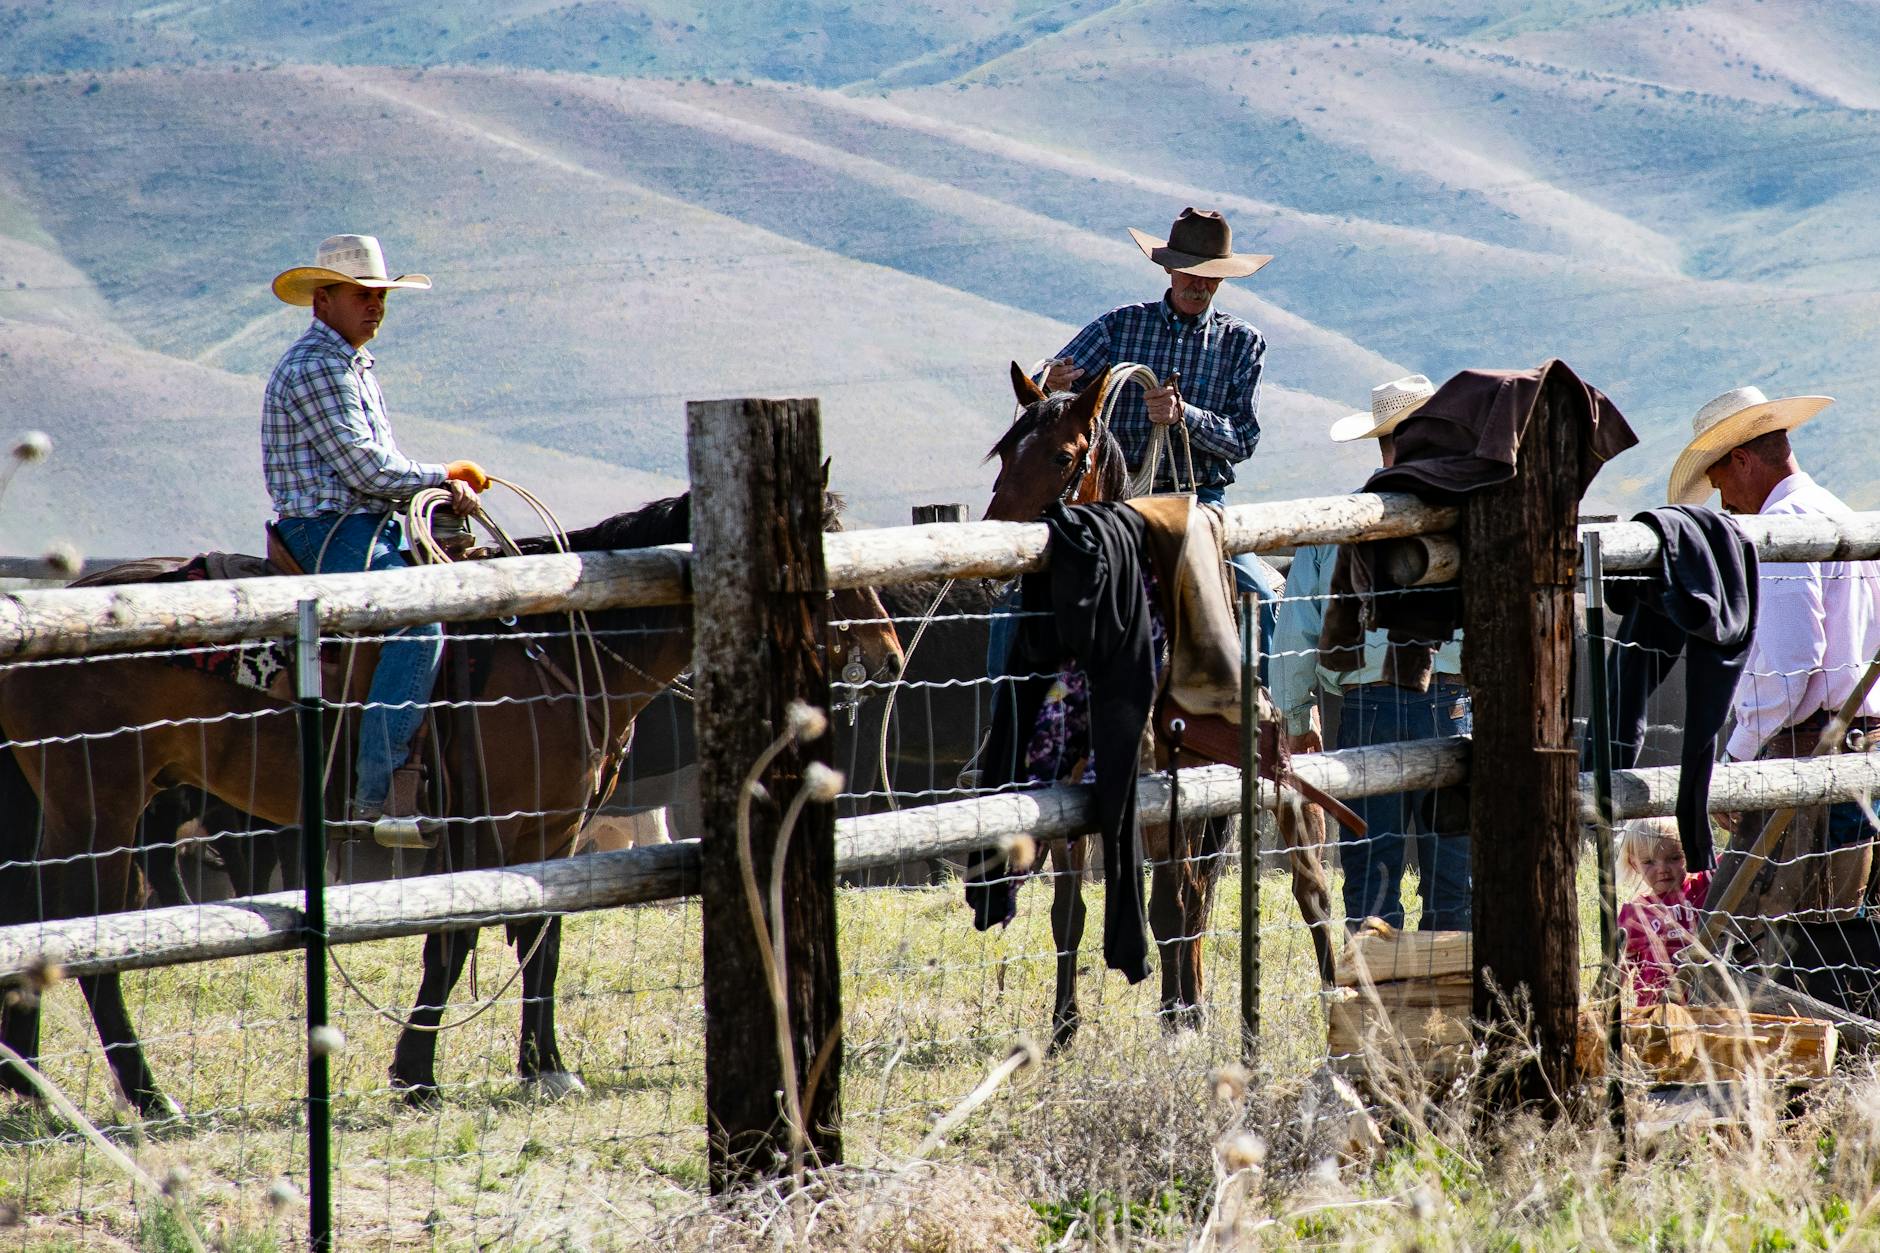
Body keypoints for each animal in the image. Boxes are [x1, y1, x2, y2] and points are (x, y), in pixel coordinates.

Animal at [0, 489, 902, 1113]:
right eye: (821, 544)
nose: (889, 651)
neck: (551, 643)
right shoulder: (489, 825)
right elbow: (459, 936)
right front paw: (417, 1072)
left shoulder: (555, 830)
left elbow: (541, 937)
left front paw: (544, 1065)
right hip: (99, 803)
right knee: (81, 930)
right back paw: (137, 1094)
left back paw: (35, 1082)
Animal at [985, 361, 1338, 1046]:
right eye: (1005, 451)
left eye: (1063, 455)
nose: (993, 557)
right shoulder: (1073, 784)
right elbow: (1069, 912)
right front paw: (1063, 1027)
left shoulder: (1165, 782)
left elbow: (1168, 903)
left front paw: (1179, 1023)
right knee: (1199, 895)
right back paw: (1188, 1001)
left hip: (1287, 783)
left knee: (1308, 890)